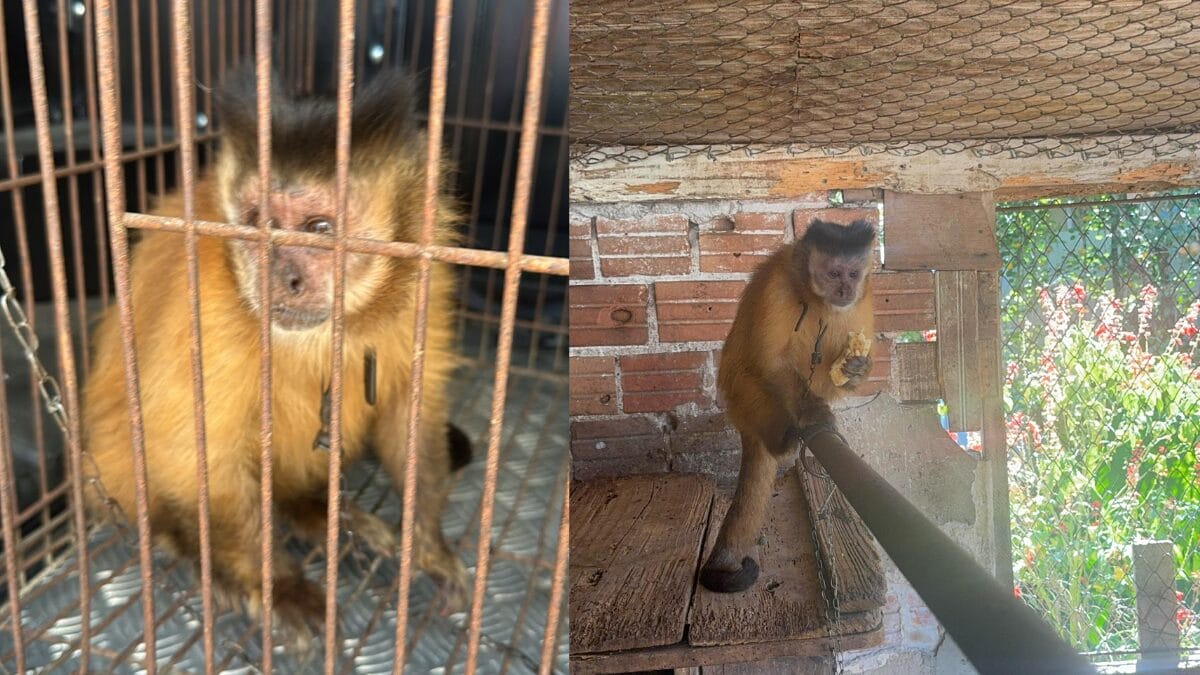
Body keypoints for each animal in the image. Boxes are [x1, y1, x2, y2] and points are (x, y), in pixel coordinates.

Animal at [82, 70, 470, 644]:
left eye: (318, 228)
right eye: (258, 222)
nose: (280, 277)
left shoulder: (423, 281)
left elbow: (410, 411)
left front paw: (427, 546)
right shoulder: (206, 303)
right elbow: (194, 452)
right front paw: (278, 588)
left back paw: (316, 512)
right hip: (109, 471)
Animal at [699, 219, 876, 593]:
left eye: (853, 274)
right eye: (833, 273)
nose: (844, 290)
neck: (813, 294)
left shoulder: (864, 297)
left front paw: (856, 368)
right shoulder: (777, 287)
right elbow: (774, 362)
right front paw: (814, 414)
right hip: (745, 398)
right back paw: (785, 439)